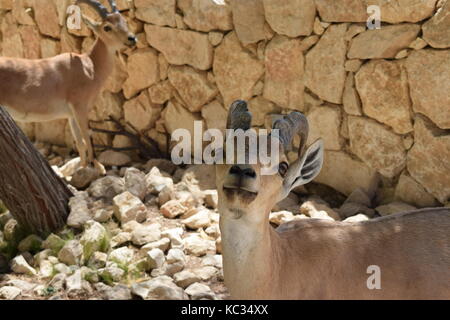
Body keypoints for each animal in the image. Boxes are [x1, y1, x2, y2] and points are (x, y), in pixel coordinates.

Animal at [0, 0, 137, 169]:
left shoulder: (71, 114)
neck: (90, 66)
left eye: (124, 21)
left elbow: (79, 143)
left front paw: (83, 169)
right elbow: (87, 136)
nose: (132, 39)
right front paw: (98, 168)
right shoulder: (80, 107)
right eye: (107, 27)